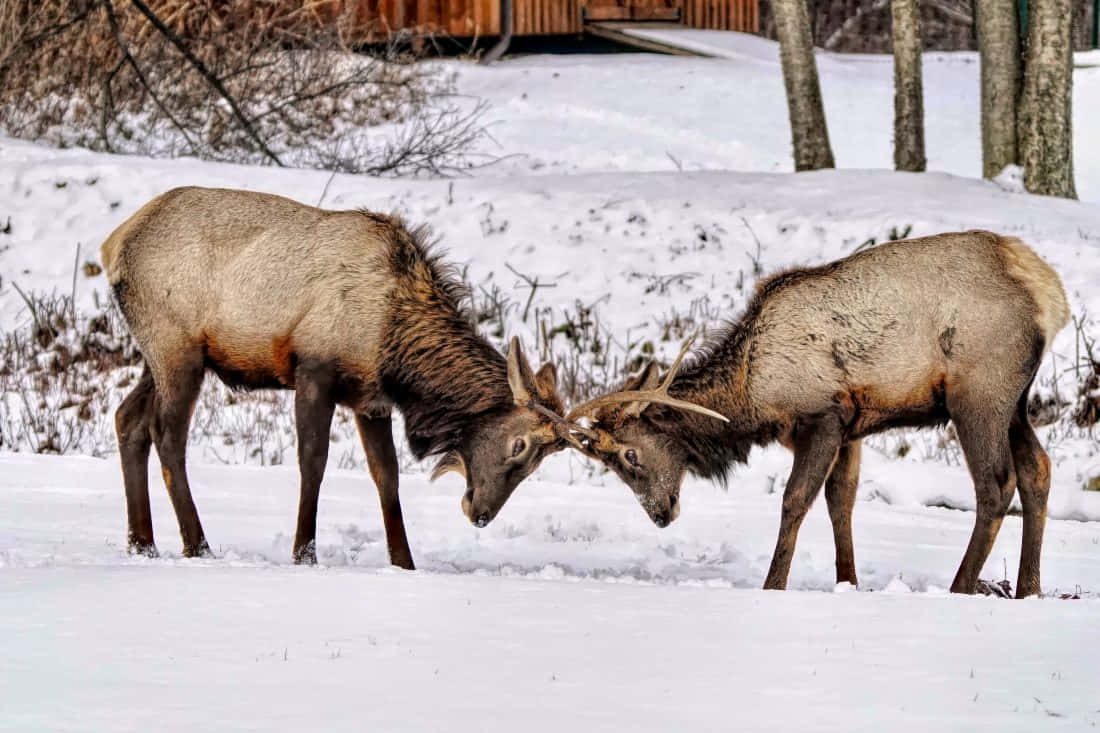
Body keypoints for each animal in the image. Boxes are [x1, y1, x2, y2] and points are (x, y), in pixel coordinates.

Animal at [101, 187, 576, 563]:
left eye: (539, 461)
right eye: (519, 444)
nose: (481, 514)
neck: (394, 345)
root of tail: (114, 245)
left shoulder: (371, 399)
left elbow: (387, 476)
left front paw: (404, 563)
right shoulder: (314, 370)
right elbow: (313, 462)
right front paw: (303, 554)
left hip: (159, 355)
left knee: (128, 419)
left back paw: (142, 543)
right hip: (176, 347)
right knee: (167, 434)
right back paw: (196, 545)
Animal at [572, 231, 1069, 598]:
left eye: (630, 456)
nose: (661, 514)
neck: (751, 394)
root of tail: (1048, 293)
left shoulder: (823, 416)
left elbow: (795, 500)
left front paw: (773, 585)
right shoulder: (852, 427)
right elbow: (839, 501)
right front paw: (847, 582)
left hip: (979, 395)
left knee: (996, 484)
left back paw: (961, 587)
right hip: (1016, 401)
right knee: (1037, 469)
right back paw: (1028, 589)